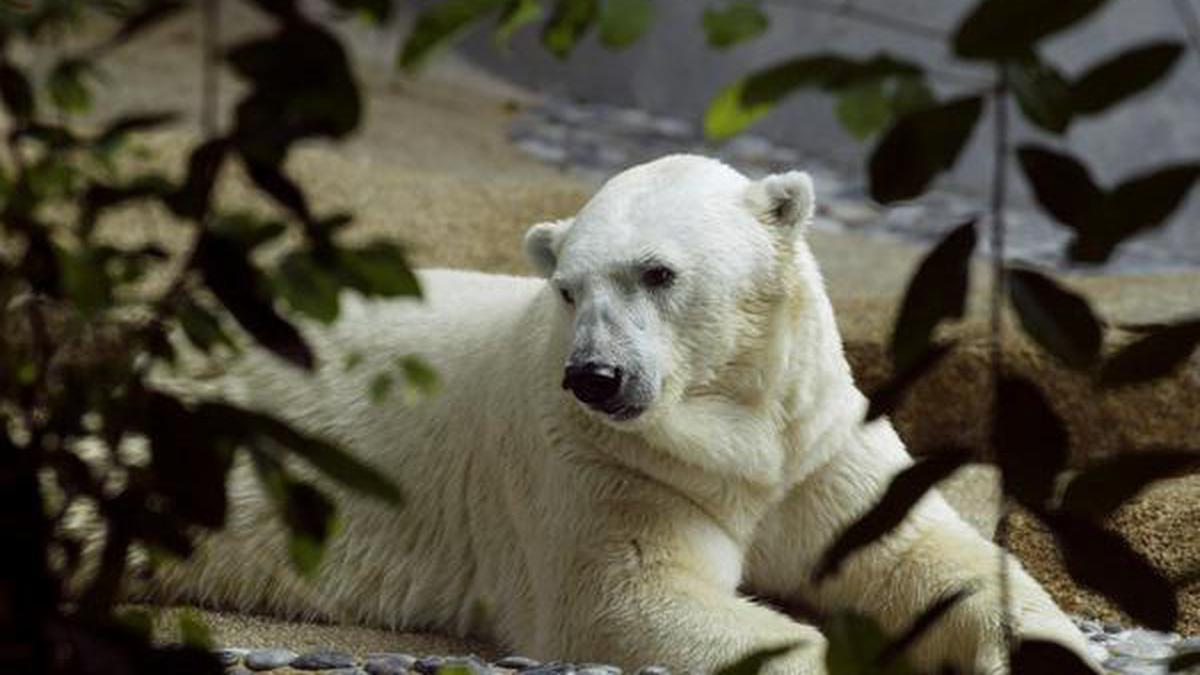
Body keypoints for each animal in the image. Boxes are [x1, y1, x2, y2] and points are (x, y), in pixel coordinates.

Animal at [147, 154, 1089, 667]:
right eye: (568, 289)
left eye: (658, 272)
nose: (595, 377)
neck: (735, 426)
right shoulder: (597, 459)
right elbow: (627, 596)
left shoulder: (816, 443)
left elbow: (924, 554)